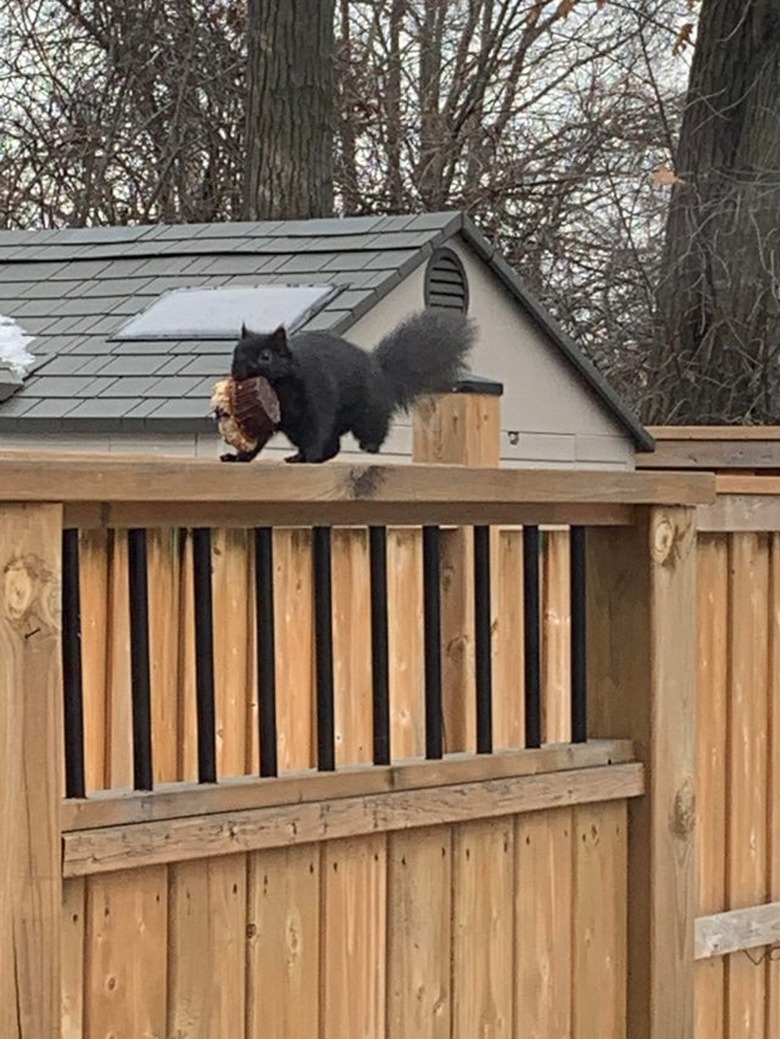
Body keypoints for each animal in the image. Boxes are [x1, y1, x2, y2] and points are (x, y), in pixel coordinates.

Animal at [221, 307, 475, 463]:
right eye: (236, 353)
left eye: (265, 356)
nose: (239, 371)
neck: (279, 389)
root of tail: (379, 371)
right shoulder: (265, 415)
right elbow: (257, 440)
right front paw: (238, 457)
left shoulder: (318, 394)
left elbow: (318, 427)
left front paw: (309, 456)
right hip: (296, 431)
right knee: (333, 446)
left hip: (368, 411)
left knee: (372, 426)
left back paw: (368, 446)